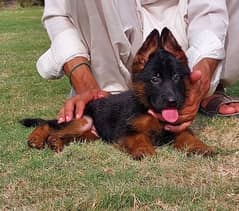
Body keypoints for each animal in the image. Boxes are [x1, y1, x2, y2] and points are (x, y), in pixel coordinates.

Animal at [21, 28, 213, 160]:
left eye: (176, 77)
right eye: (155, 79)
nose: (173, 101)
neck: (150, 110)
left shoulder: (177, 128)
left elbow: (187, 135)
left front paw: (201, 147)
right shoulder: (124, 131)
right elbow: (138, 138)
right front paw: (144, 150)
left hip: (89, 135)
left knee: (62, 135)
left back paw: (55, 142)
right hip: (82, 120)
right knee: (49, 125)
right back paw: (36, 138)